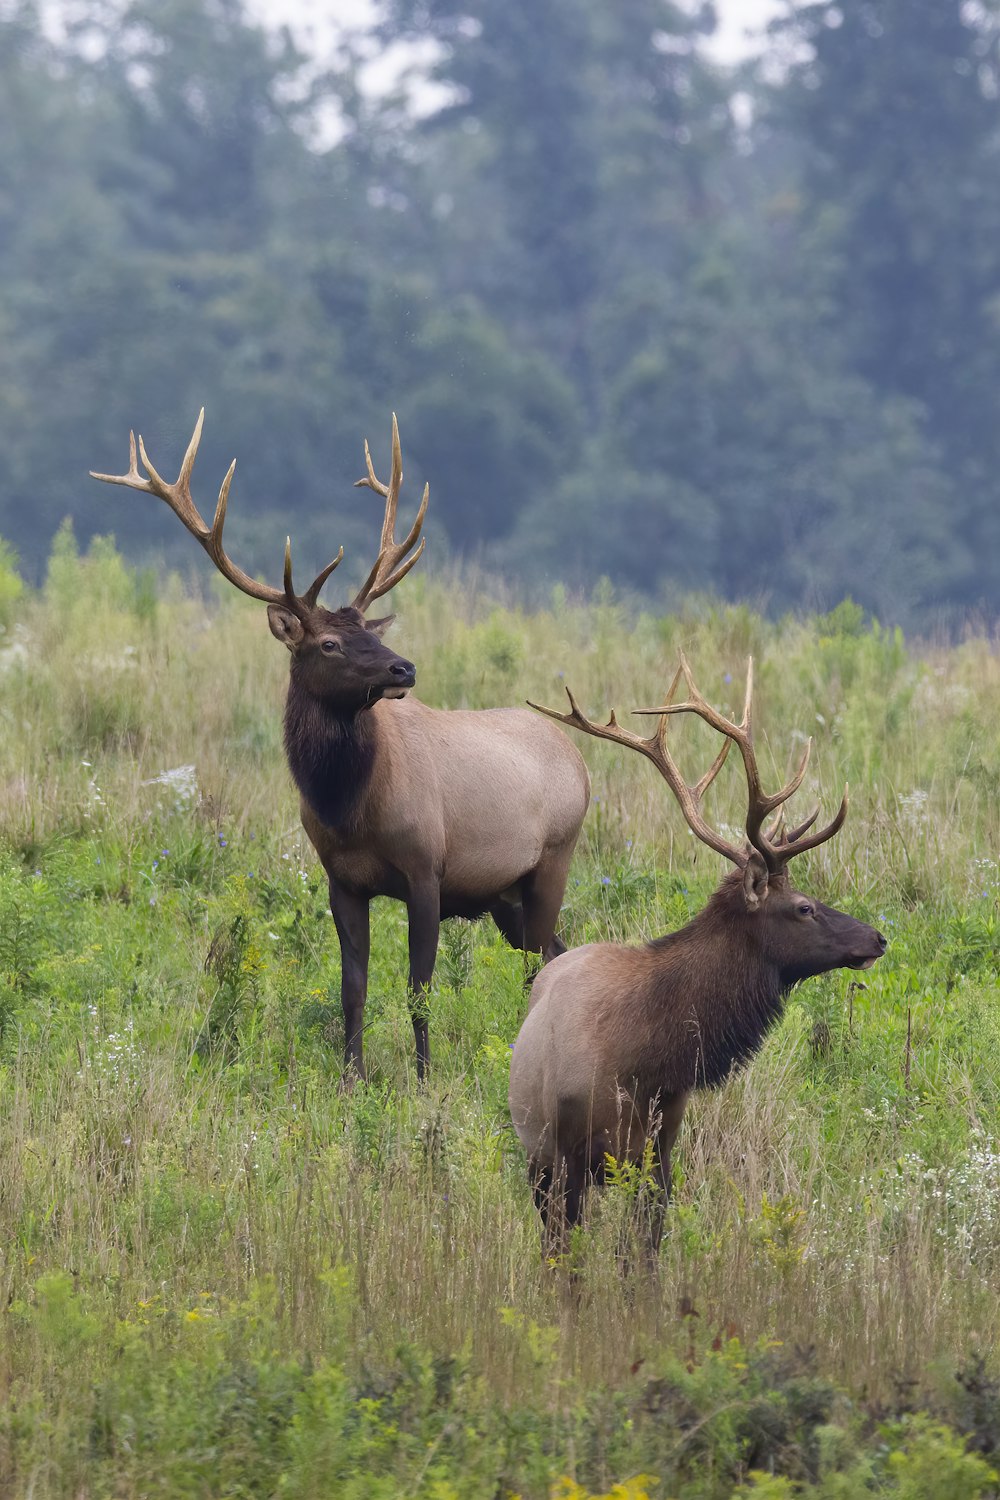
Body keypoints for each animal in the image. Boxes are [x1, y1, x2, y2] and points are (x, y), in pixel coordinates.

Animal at [89, 411, 590, 1080]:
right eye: (328, 642)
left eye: (368, 633)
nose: (404, 668)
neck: (351, 808)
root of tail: (581, 762)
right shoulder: (342, 879)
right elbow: (354, 985)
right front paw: (352, 1079)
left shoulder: (427, 867)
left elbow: (418, 986)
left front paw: (423, 1078)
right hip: (503, 893)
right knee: (553, 952)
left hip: (553, 858)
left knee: (542, 957)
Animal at [509, 657, 881, 1254]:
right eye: (803, 907)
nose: (877, 939)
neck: (646, 1062)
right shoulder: (565, 1154)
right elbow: (567, 1259)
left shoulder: (660, 1150)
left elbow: (644, 1254)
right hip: (539, 1155)